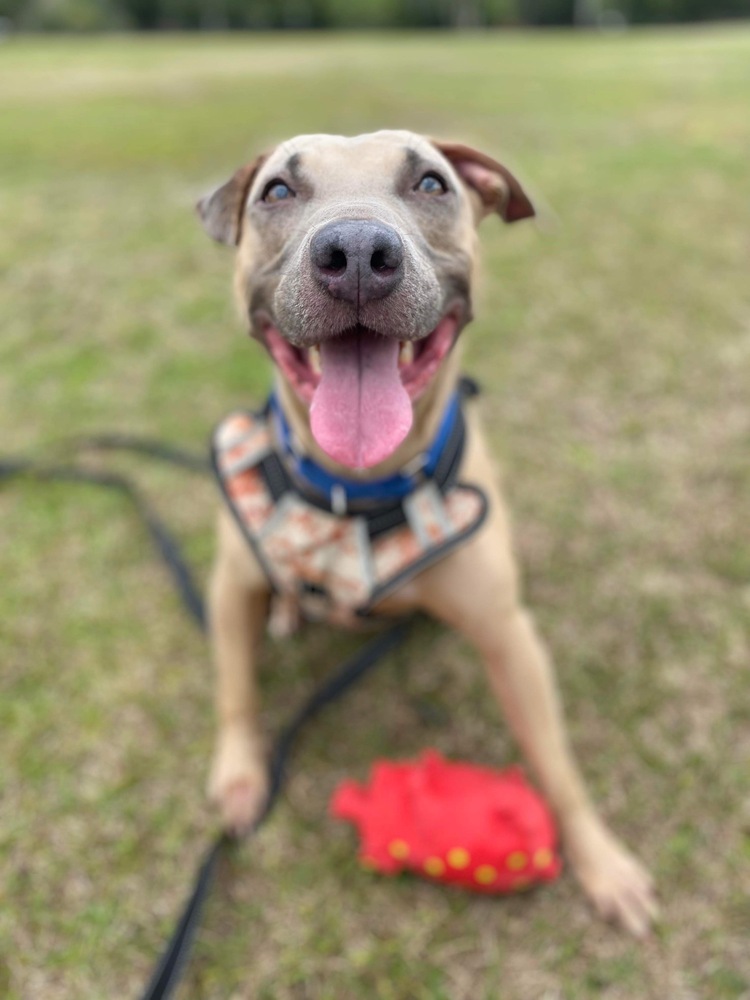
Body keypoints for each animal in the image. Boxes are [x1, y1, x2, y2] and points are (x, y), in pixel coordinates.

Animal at [198, 131, 656, 936]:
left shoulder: (509, 635)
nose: (355, 252)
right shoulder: (229, 584)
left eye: (432, 183)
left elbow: (556, 761)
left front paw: (603, 863)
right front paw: (240, 777)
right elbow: (237, 688)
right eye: (278, 190)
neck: (358, 488)